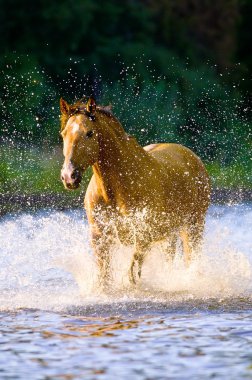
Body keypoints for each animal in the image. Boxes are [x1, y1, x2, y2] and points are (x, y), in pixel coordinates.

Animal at [59, 96, 211, 286]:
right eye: (64, 133)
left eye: (89, 133)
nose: (69, 176)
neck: (115, 190)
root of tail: (194, 157)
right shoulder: (100, 238)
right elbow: (105, 277)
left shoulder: (144, 235)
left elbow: (132, 272)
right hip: (170, 234)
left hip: (193, 226)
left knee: (191, 257)